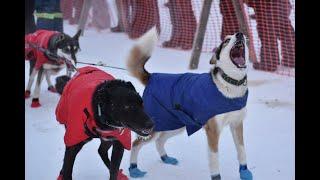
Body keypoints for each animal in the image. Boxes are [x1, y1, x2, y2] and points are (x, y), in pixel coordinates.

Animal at [126, 27, 254, 180]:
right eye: (227, 40)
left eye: (244, 38)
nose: (240, 34)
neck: (229, 84)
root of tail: (151, 77)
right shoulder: (213, 131)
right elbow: (214, 159)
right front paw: (217, 176)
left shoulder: (237, 124)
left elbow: (242, 150)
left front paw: (244, 172)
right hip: (155, 127)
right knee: (136, 144)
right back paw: (134, 169)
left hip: (175, 125)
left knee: (159, 141)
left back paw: (166, 158)